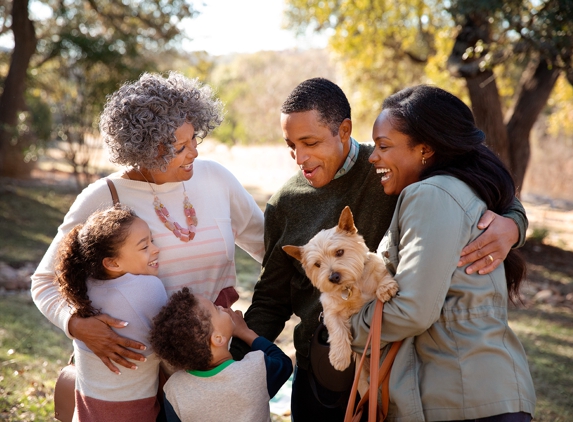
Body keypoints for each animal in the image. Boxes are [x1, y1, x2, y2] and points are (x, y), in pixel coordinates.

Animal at [282, 206, 398, 380]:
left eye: (339, 252)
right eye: (317, 264)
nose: (333, 277)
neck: (351, 286)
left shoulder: (375, 268)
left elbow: (382, 272)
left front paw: (385, 288)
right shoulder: (331, 311)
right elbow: (337, 329)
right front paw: (340, 358)